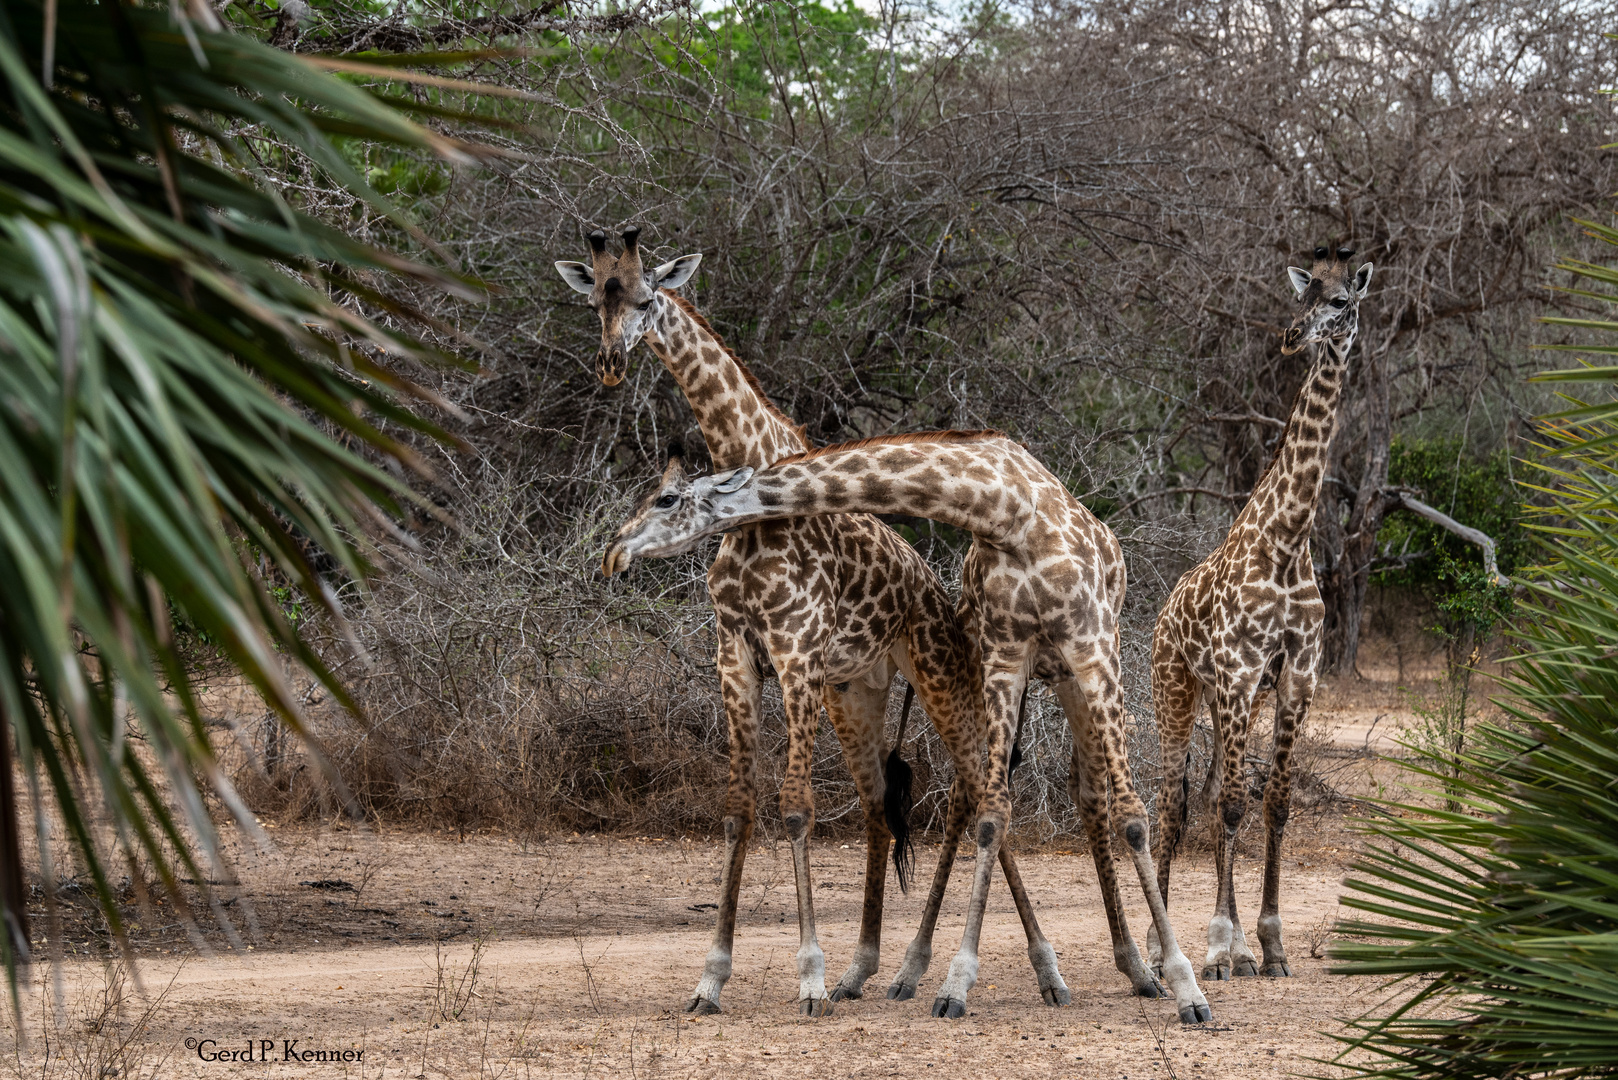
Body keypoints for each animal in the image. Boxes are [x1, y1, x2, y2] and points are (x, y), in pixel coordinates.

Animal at [556, 226, 1074, 1016]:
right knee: (877, 805)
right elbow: (739, 807)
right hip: (854, 690)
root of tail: (939, 592)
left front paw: (809, 976)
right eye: (595, 301)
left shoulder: (794, 646)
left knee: (978, 793)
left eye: (646, 298)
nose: (612, 365)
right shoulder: (737, 651)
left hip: (939, 679)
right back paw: (868, 968)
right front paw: (711, 979)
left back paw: (1038, 973)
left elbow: (796, 804)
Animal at [605, 427, 1216, 1023]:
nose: (613, 551)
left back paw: (1137, 969)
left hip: (1068, 675)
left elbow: (1133, 816)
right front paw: (956, 983)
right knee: (973, 794)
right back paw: (917, 971)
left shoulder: (1092, 647)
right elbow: (993, 817)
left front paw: (1185, 985)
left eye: (665, 498)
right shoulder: (1004, 657)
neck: (1008, 512)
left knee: (1091, 797)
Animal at [1145, 247, 1372, 990]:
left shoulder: (1297, 677)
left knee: (1213, 796)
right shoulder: (1242, 673)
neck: (1288, 538)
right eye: (1305, 295)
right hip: (1178, 689)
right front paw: (1221, 948)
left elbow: (1274, 803)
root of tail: (1162, 611)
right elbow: (1232, 807)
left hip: (1222, 699)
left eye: (1342, 301)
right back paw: (1162, 951)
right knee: (1174, 803)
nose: (1294, 336)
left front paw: (1267, 945)